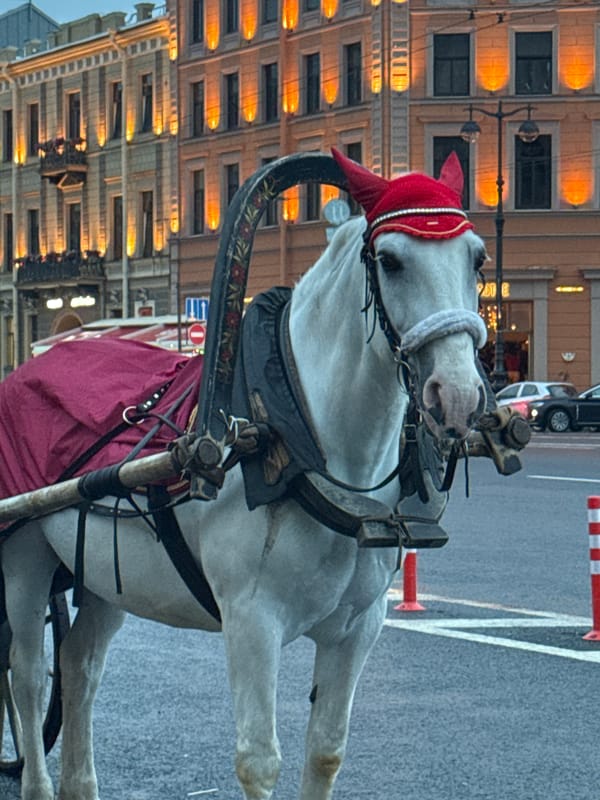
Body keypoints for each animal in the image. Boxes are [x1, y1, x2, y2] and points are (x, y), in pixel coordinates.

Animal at [0, 150, 489, 800]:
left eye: (478, 258)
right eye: (390, 260)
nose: (457, 395)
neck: (296, 436)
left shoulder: (359, 627)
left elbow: (326, 750)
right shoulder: (252, 622)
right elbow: (259, 761)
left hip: (107, 577)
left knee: (79, 664)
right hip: (25, 559)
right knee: (28, 677)